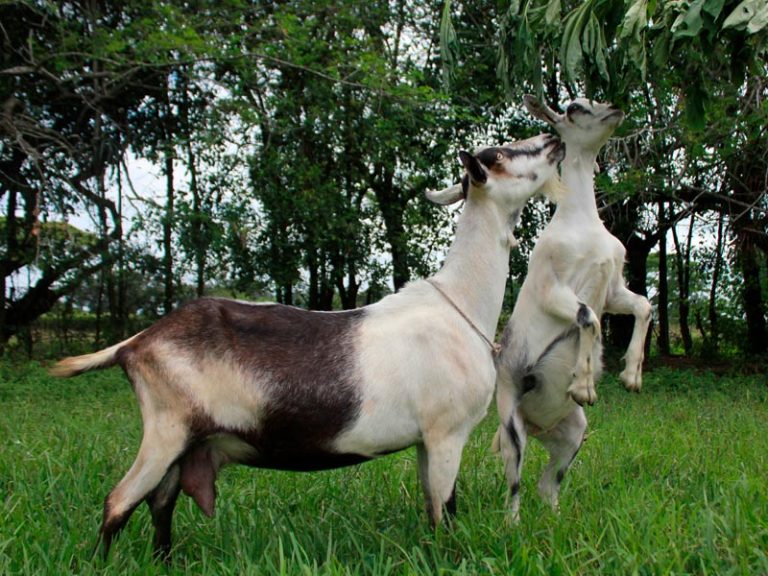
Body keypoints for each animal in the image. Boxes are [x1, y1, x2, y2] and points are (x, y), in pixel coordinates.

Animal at [49, 132, 564, 560]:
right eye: (501, 156)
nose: (552, 138)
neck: (460, 301)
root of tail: (137, 342)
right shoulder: (445, 432)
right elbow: (444, 513)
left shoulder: (425, 440)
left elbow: (432, 507)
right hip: (166, 427)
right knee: (119, 502)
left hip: (183, 440)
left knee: (160, 502)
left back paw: (165, 562)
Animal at [496, 97, 652, 520]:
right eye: (573, 107)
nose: (615, 109)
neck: (582, 221)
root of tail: (536, 426)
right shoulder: (554, 289)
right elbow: (589, 319)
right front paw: (584, 386)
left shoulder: (613, 288)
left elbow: (643, 306)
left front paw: (631, 376)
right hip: (512, 428)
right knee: (514, 484)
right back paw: (512, 526)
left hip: (572, 433)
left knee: (548, 483)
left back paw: (556, 520)